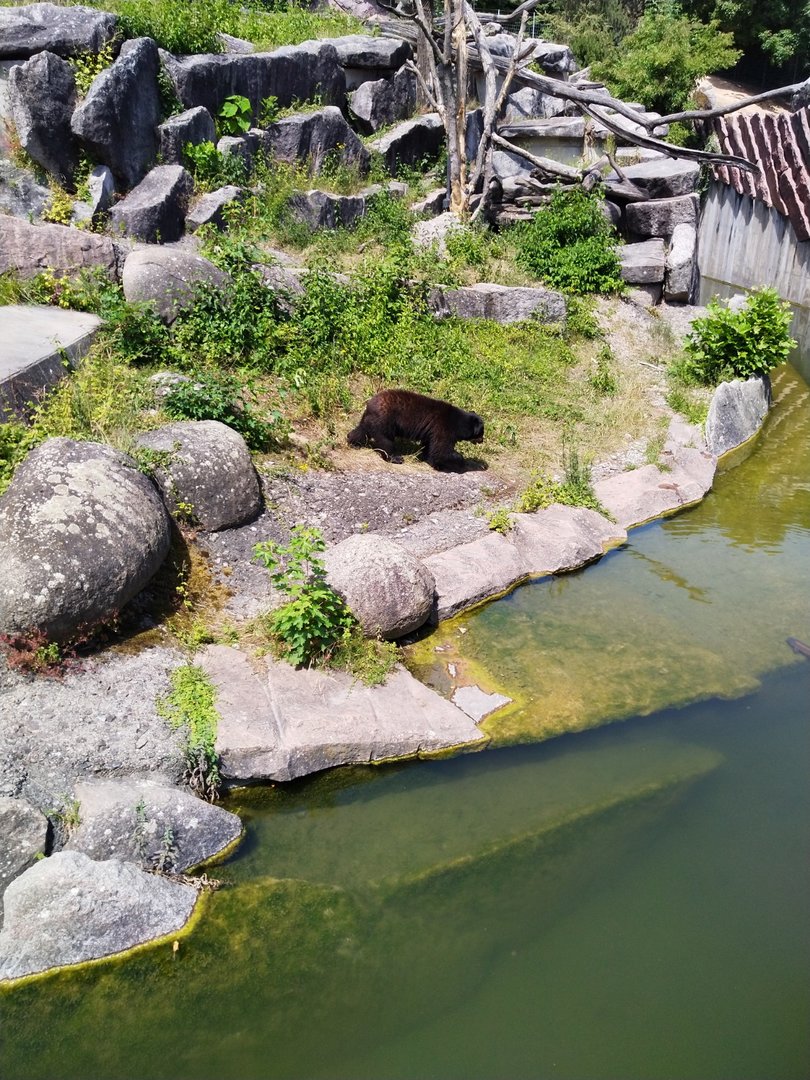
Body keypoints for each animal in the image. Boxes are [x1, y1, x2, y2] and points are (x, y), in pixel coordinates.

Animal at [346, 389, 484, 472]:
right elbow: (441, 449)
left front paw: (428, 459)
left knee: (361, 431)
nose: (482, 440)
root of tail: (369, 403)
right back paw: (396, 458)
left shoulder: (431, 431)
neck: (458, 423)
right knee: (386, 441)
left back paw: (352, 441)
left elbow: (430, 446)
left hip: (370, 420)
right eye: (482, 432)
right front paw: (458, 462)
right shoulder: (443, 428)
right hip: (385, 420)